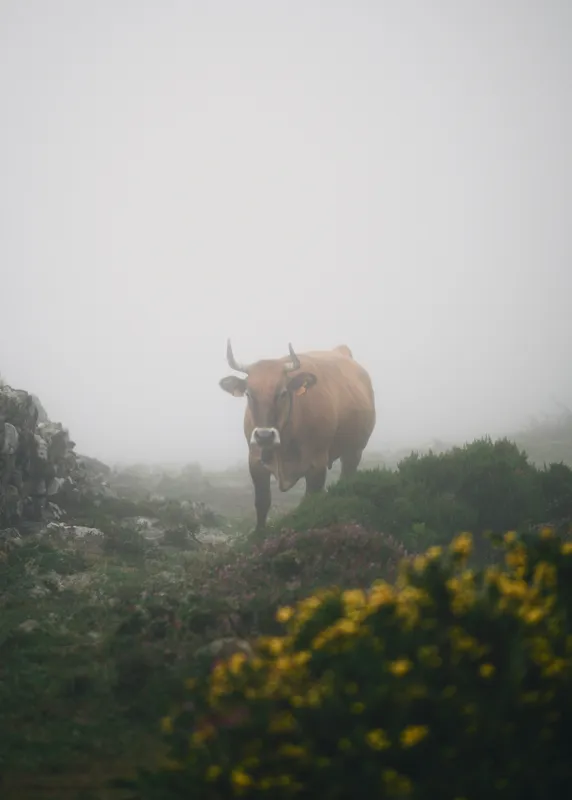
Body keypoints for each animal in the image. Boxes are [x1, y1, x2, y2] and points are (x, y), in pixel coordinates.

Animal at [219, 340, 376, 532]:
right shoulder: (255, 462)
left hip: (355, 451)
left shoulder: (317, 464)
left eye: (283, 393)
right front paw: (258, 534)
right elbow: (262, 502)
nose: (264, 436)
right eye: (249, 394)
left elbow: (310, 501)